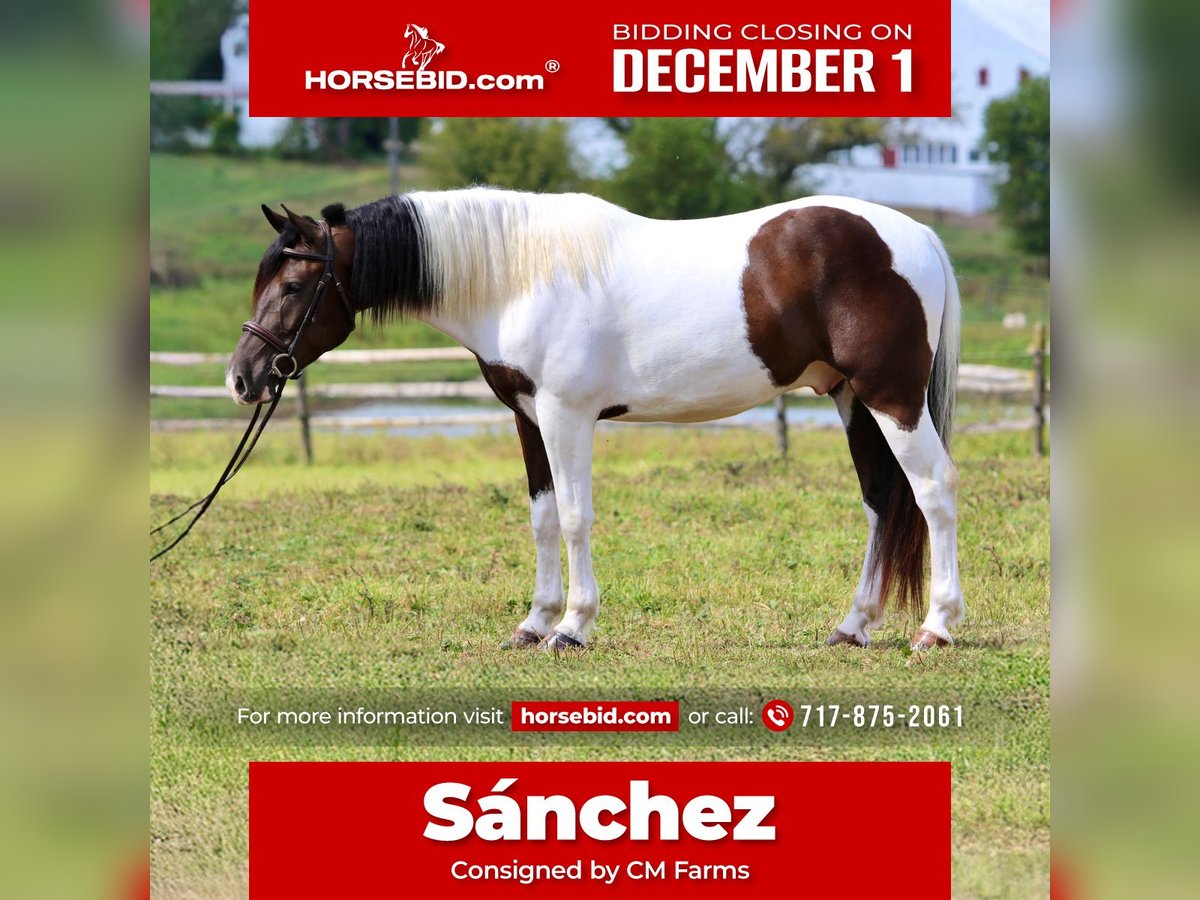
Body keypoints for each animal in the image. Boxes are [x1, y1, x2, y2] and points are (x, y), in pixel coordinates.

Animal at [228, 188, 963, 652]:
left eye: (293, 286)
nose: (242, 378)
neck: (518, 278)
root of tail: (919, 236)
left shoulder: (566, 415)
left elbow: (576, 517)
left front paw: (572, 627)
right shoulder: (528, 419)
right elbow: (543, 518)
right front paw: (533, 623)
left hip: (891, 396)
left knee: (934, 491)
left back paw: (936, 627)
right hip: (851, 399)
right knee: (881, 501)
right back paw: (853, 626)